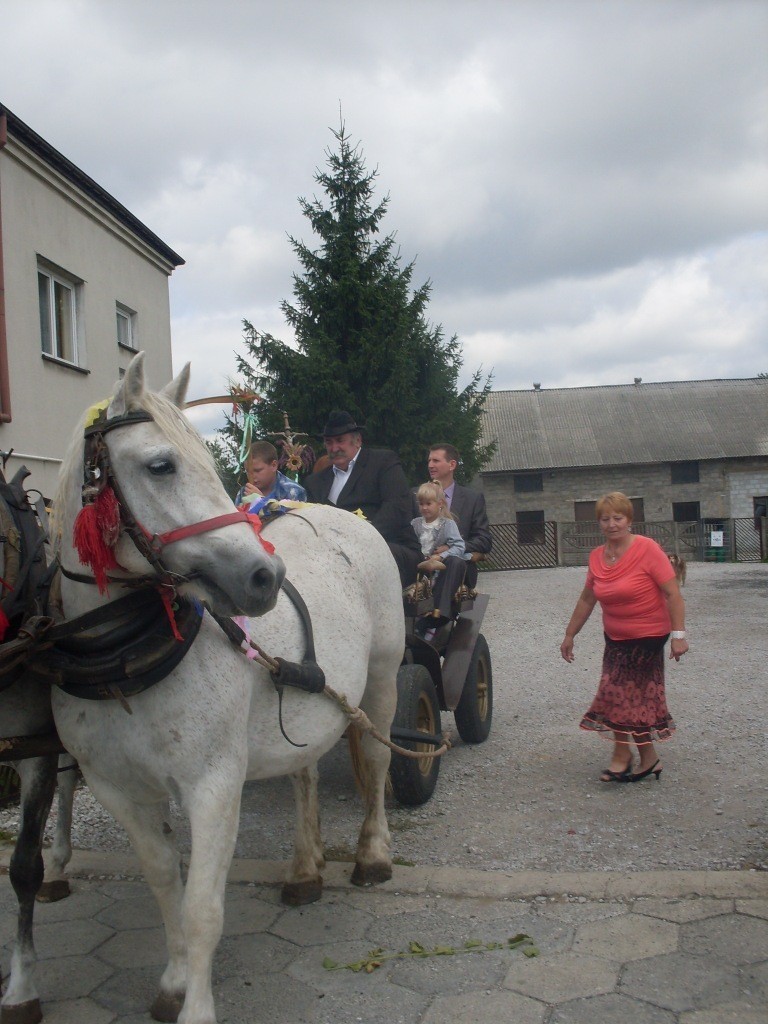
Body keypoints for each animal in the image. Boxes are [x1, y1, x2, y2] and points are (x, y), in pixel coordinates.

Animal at [48, 354, 403, 1024]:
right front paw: (173, 980)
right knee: (303, 773)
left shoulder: (212, 785)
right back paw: (304, 868)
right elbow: (165, 883)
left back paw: (371, 855)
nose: (264, 576)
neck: (130, 667)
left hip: (384, 676)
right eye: (160, 465)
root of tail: (344, 517)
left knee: (375, 757)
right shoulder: (117, 788)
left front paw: (196, 1005)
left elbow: (202, 909)